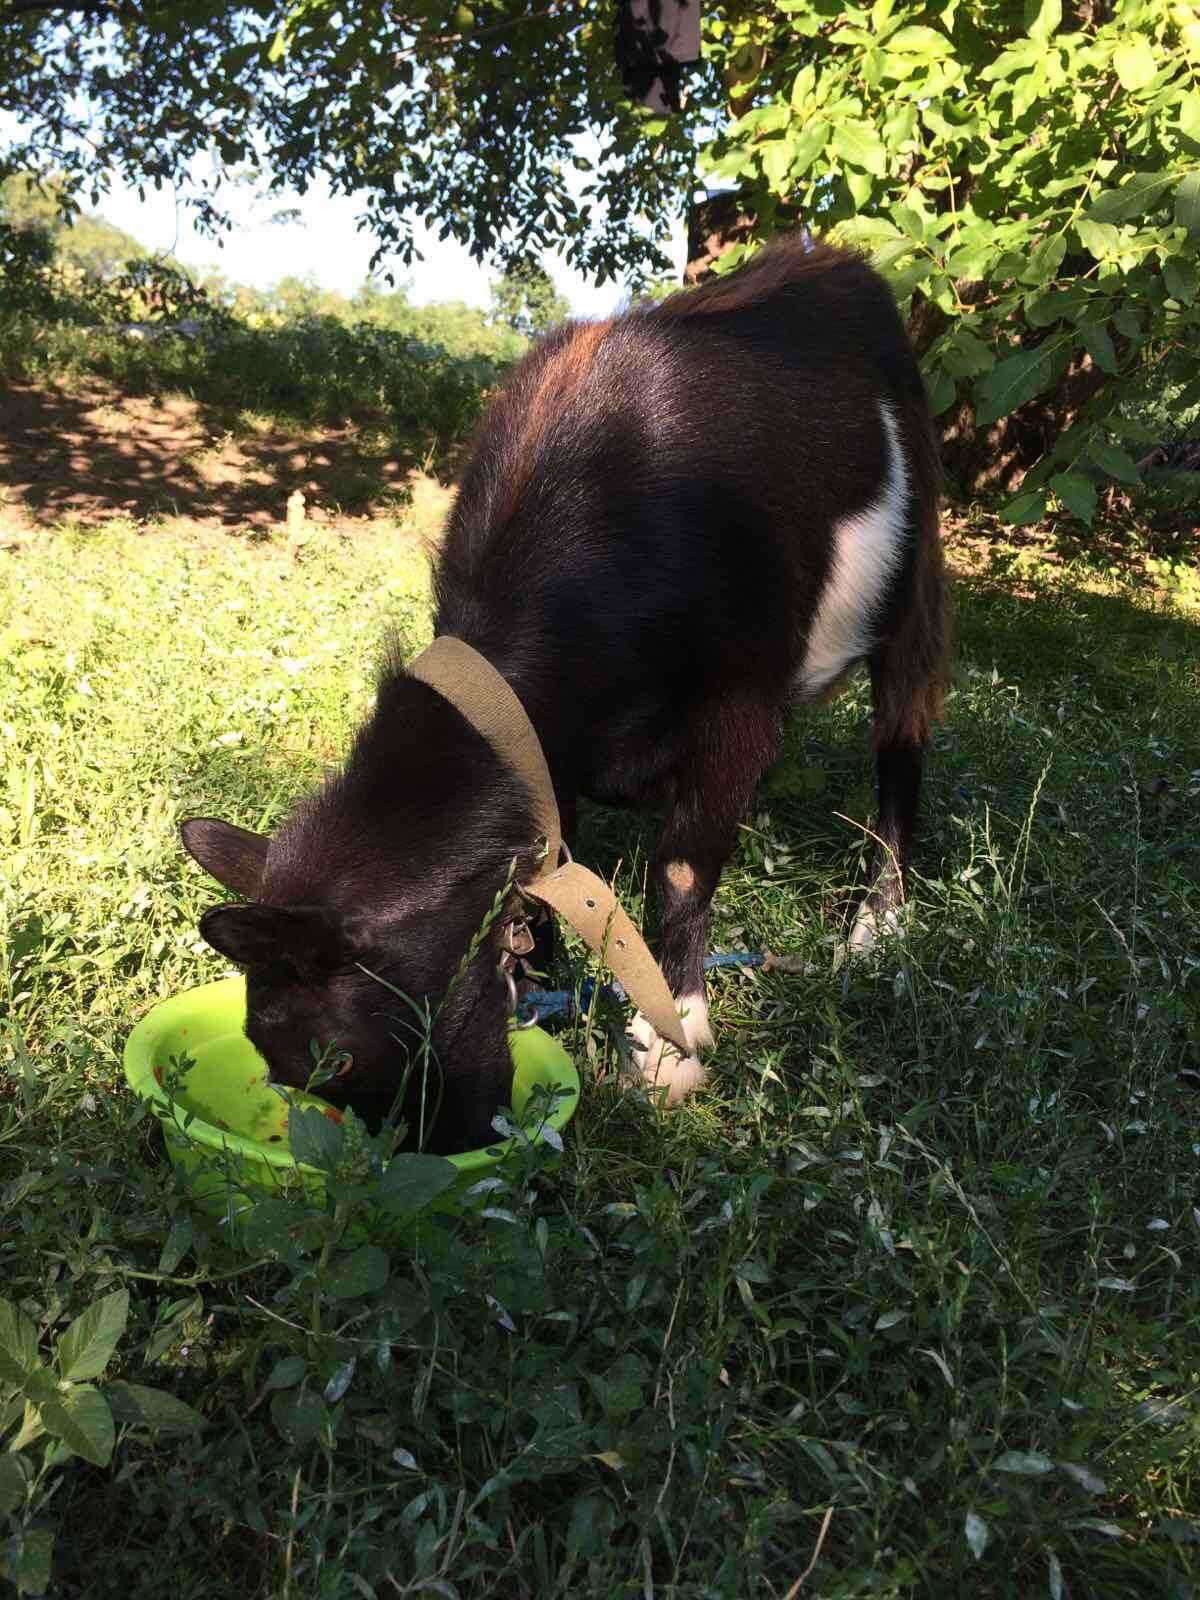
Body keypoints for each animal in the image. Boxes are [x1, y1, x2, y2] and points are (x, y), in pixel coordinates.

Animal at [180, 236, 947, 1152]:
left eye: (334, 1056)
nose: (449, 1148)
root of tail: (833, 262)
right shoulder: (548, 751)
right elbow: (557, 860)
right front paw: (549, 983)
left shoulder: (740, 696)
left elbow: (682, 864)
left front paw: (670, 1043)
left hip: (914, 575)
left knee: (901, 736)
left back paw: (880, 923)